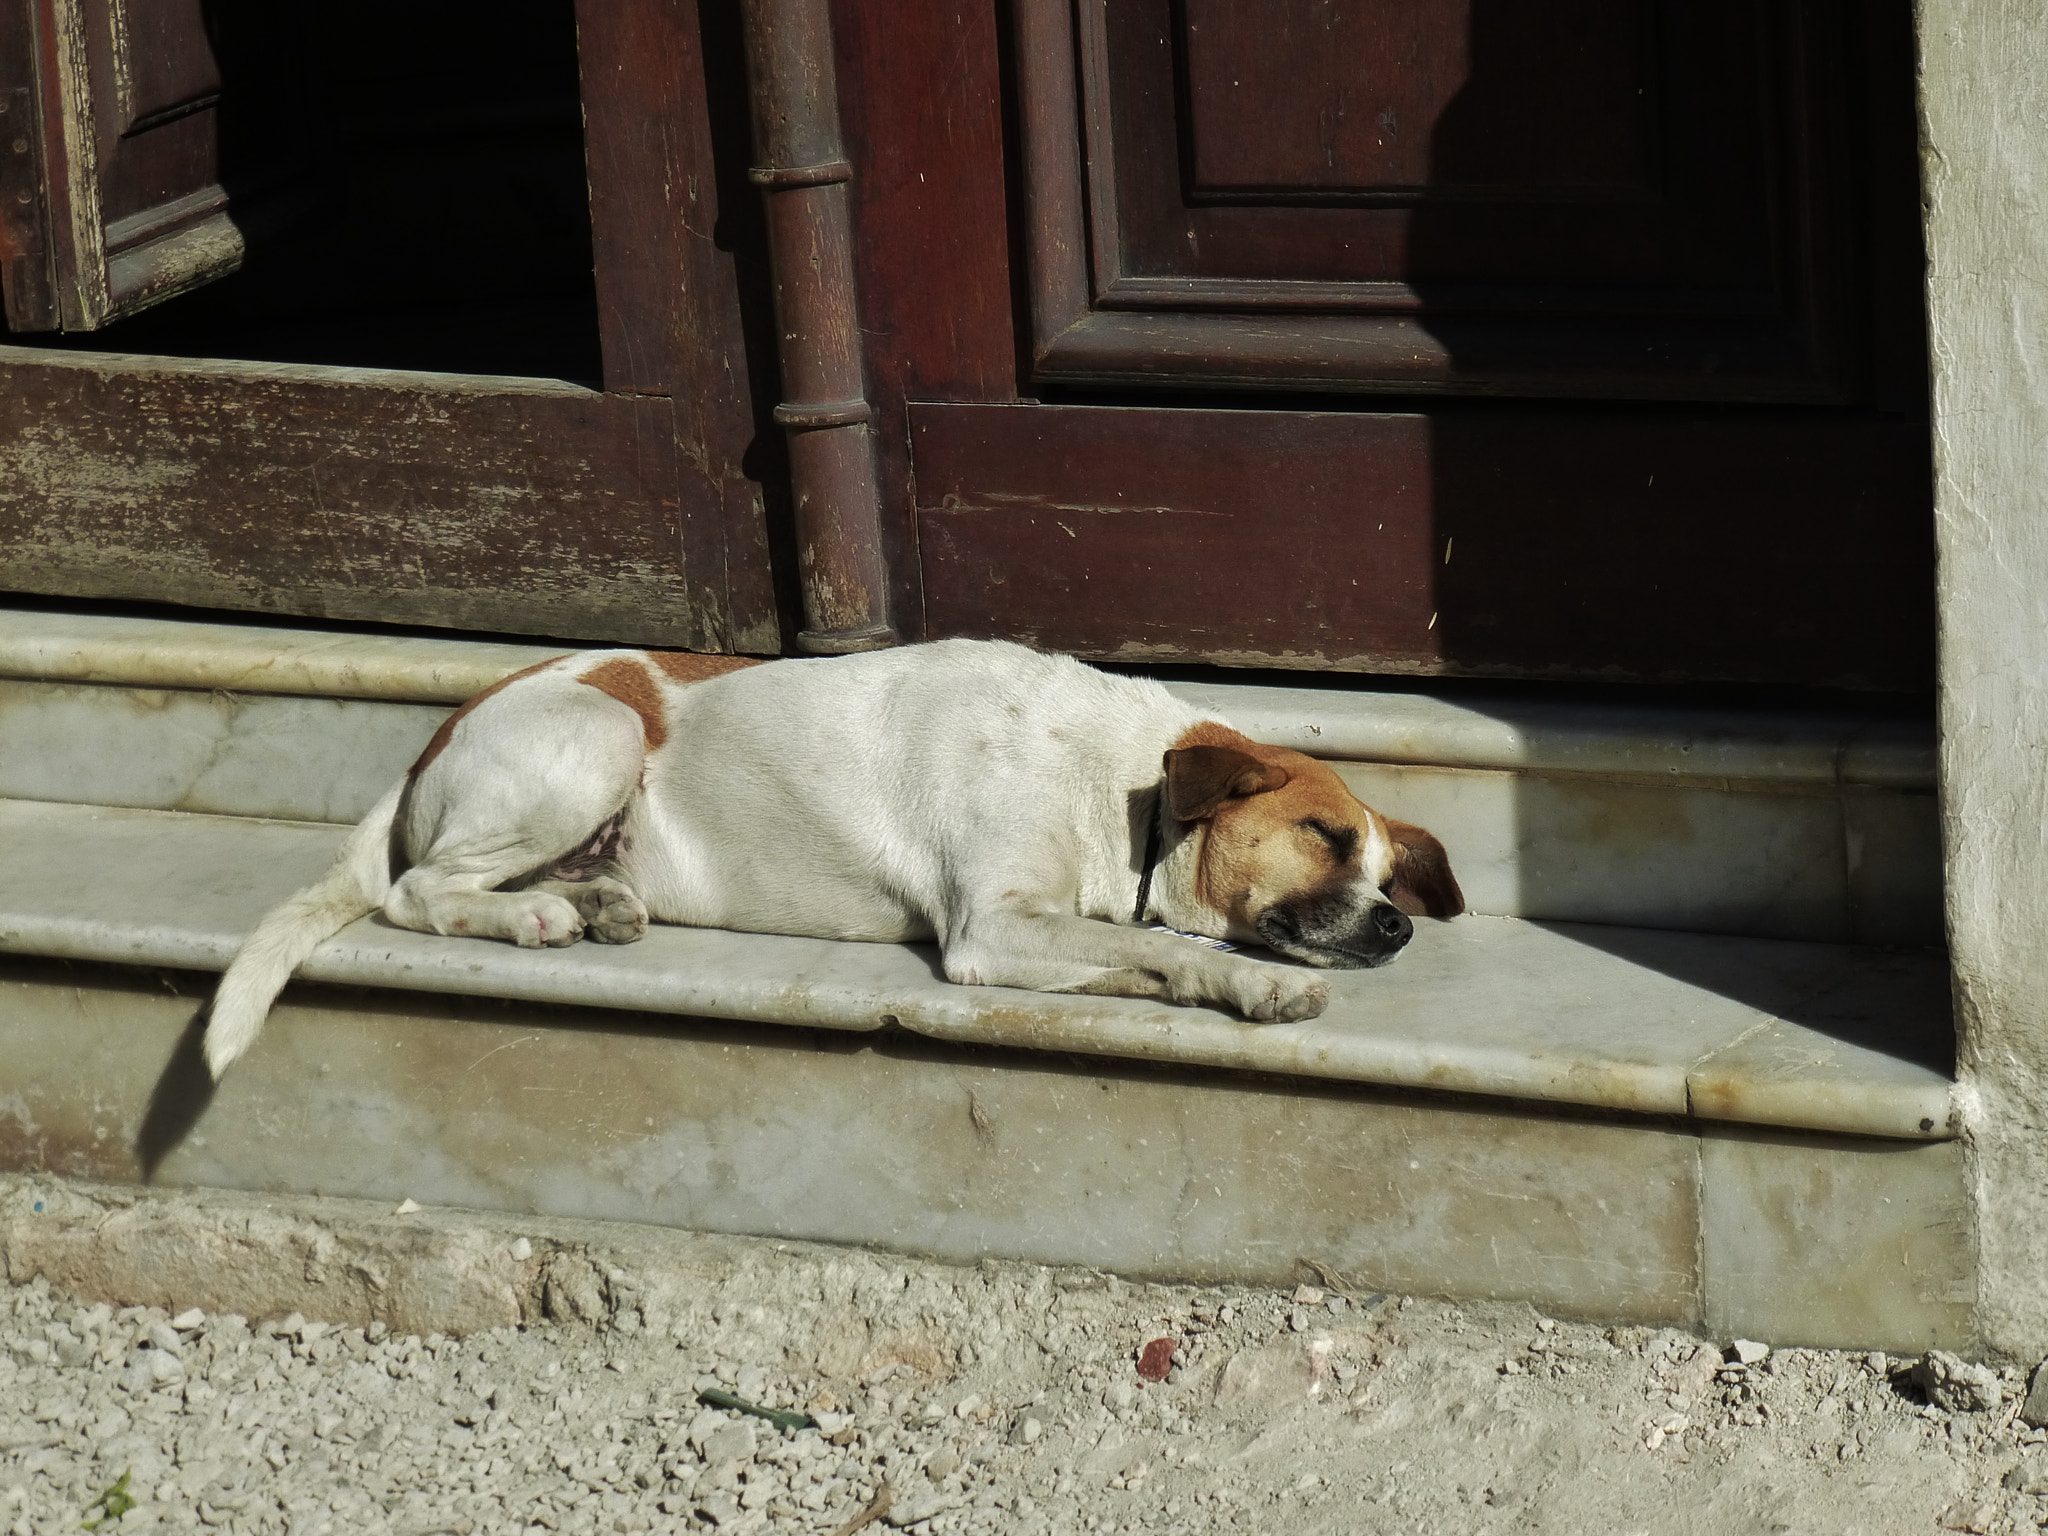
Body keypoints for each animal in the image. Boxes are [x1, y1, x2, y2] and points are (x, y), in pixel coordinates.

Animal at [199, 643, 1466, 1073]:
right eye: (1324, 836)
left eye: (1384, 867)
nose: (1397, 924)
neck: (1122, 791)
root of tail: (442, 730)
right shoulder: (994, 928)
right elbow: (1173, 956)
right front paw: (1257, 987)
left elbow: (1144, 952)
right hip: (597, 736)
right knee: (419, 892)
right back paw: (536, 920)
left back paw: (595, 903)